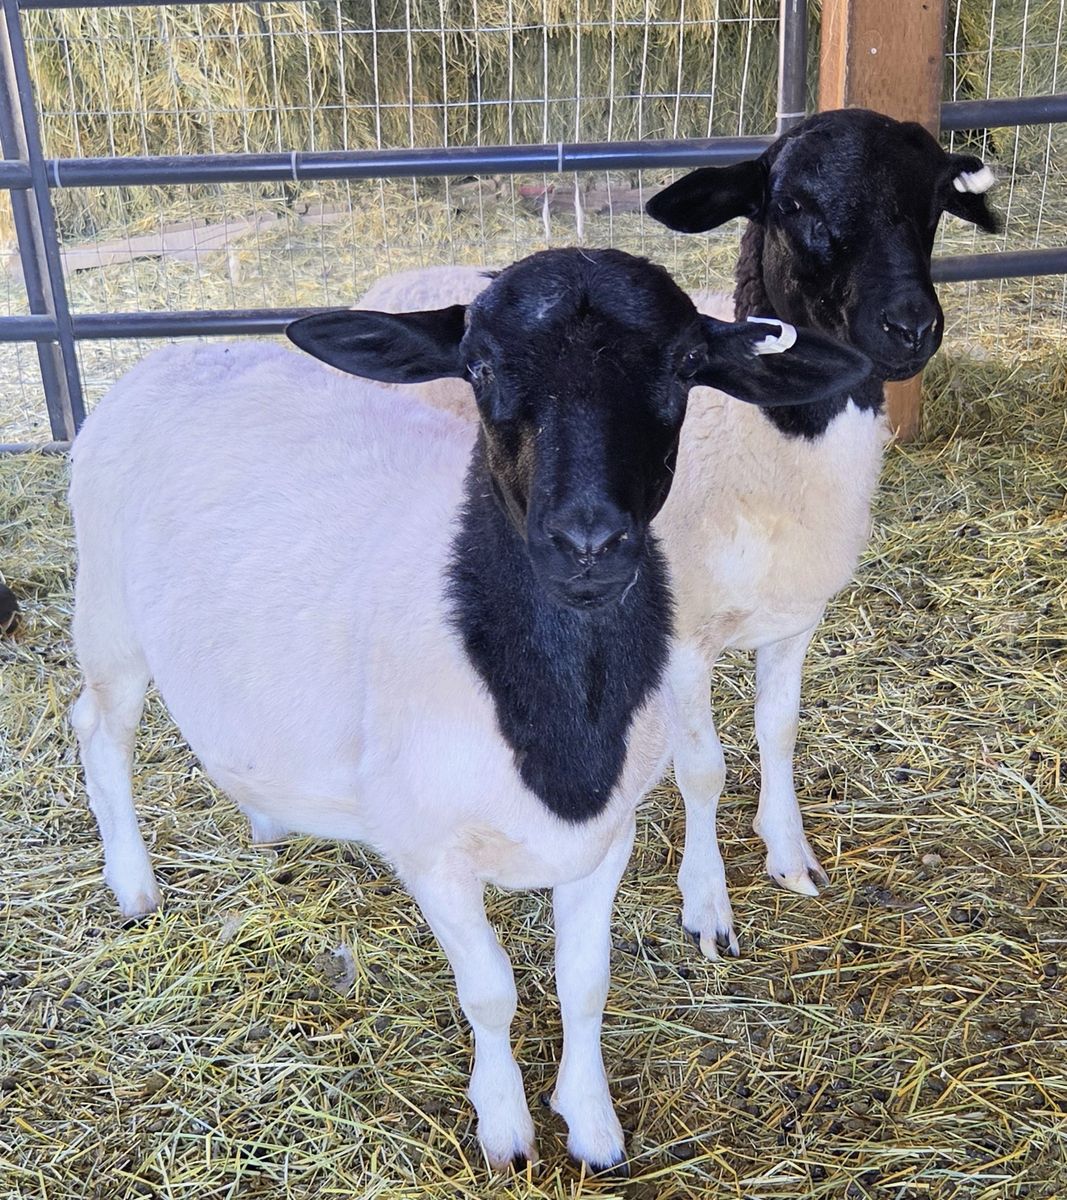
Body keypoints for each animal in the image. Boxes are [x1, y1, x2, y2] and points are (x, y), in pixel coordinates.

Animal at [69, 246, 870, 1171]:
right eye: (479, 367)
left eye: (685, 369)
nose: (588, 542)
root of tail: (171, 354)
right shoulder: (429, 853)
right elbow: (489, 991)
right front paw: (506, 1129)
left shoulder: (607, 838)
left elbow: (584, 984)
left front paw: (590, 1125)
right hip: (107, 615)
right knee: (98, 729)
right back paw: (133, 886)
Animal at [349, 109, 999, 959]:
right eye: (791, 203)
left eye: (933, 204)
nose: (909, 327)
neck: (770, 447)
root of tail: (397, 278)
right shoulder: (684, 637)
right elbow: (703, 767)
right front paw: (708, 903)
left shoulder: (795, 619)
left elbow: (778, 731)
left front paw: (789, 855)